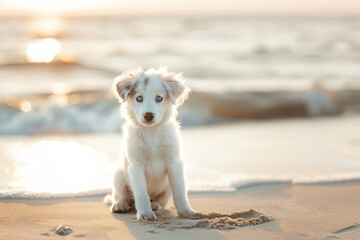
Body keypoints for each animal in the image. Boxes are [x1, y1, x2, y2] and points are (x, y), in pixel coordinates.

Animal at [107, 66, 195, 220]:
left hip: (166, 188)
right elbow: (141, 193)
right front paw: (145, 213)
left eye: (159, 98)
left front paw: (185, 210)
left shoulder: (174, 162)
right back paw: (120, 205)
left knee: (160, 200)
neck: (151, 132)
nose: (148, 115)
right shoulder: (135, 165)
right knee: (122, 196)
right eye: (139, 98)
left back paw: (155, 205)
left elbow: (179, 191)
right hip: (118, 176)